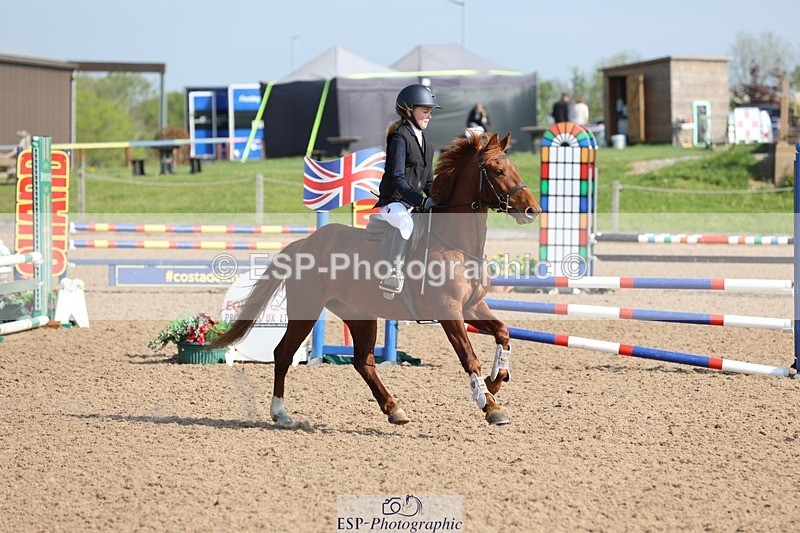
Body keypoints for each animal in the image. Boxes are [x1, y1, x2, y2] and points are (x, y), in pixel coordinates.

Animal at [214, 133, 541, 427]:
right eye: (498, 171)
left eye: (514, 168)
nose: (533, 210)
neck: (457, 244)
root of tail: (305, 243)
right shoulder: (449, 311)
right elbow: (469, 357)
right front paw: (490, 405)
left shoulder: (472, 306)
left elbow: (503, 332)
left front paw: (496, 379)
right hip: (306, 309)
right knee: (283, 354)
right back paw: (280, 413)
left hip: (360, 315)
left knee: (364, 362)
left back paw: (394, 409)